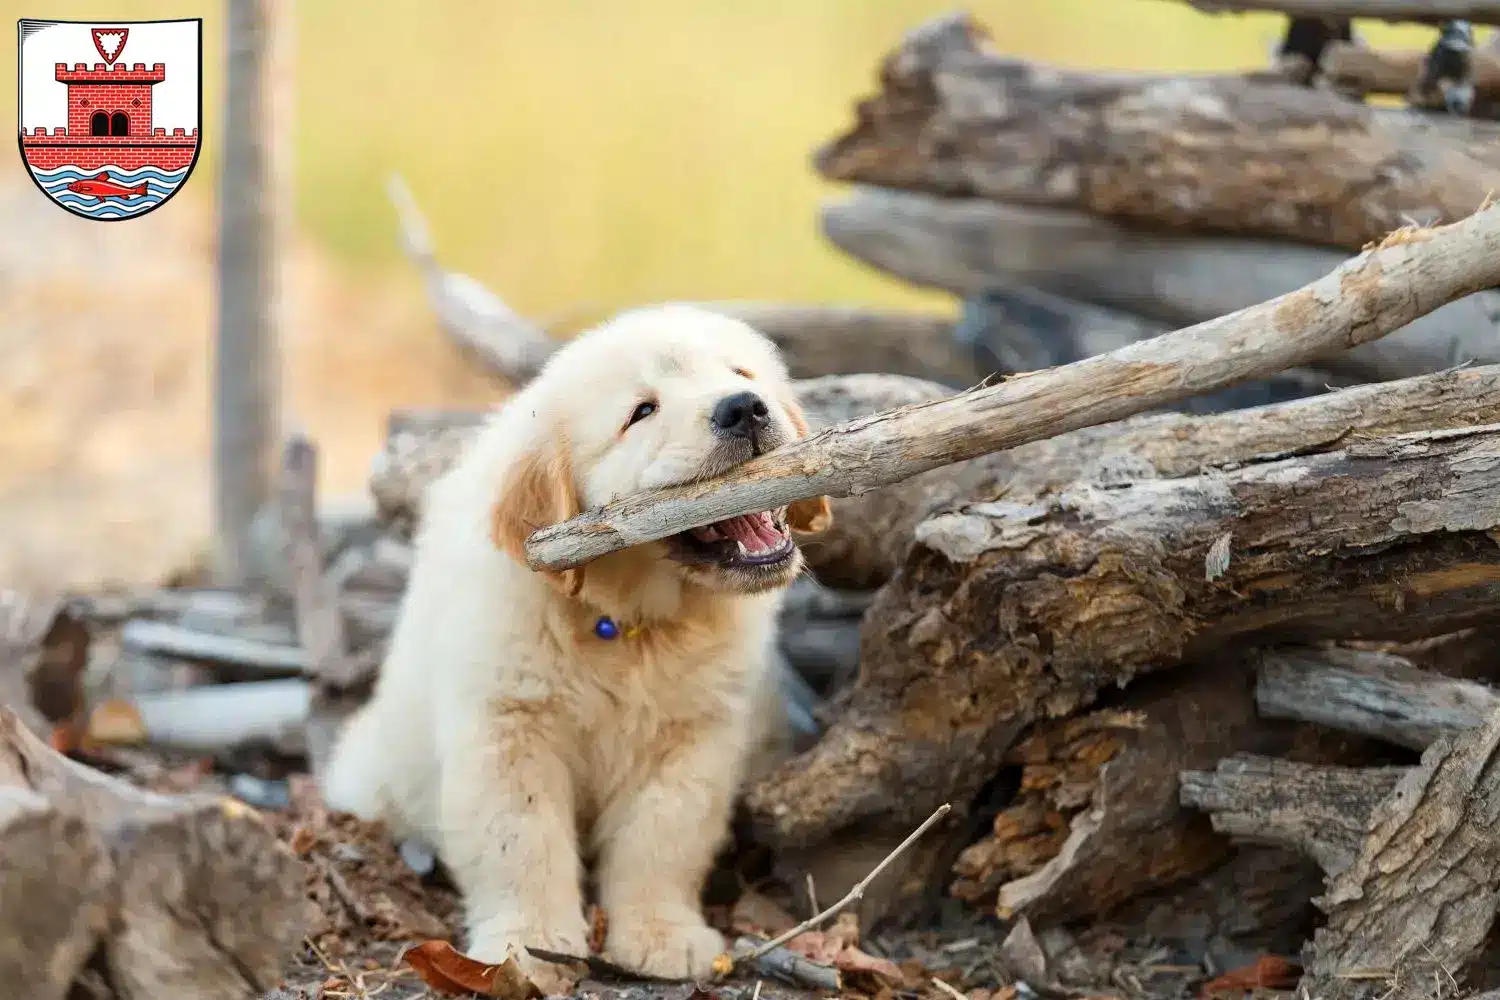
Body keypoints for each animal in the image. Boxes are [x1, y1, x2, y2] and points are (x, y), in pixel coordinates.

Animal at [321, 305, 828, 983]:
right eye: (642, 411)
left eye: (741, 373)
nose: (744, 407)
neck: (627, 626)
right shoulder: (508, 728)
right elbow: (521, 840)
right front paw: (526, 947)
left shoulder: (695, 736)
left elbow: (662, 836)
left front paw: (660, 934)